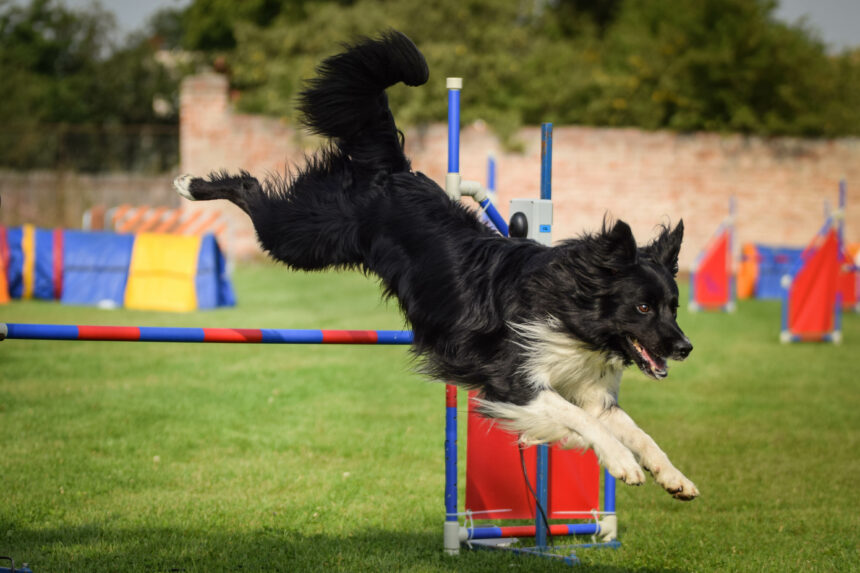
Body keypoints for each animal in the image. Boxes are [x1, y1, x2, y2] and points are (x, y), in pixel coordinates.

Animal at [173, 31, 700, 498]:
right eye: (642, 308)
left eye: (673, 306)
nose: (685, 347)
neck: (572, 310)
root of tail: (394, 170)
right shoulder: (511, 377)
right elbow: (582, 422)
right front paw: (619, 462)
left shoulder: (587, 389)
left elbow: (630, 429)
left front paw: (674, 477)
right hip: (302, 239)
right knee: (251, 191)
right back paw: (191, 185)